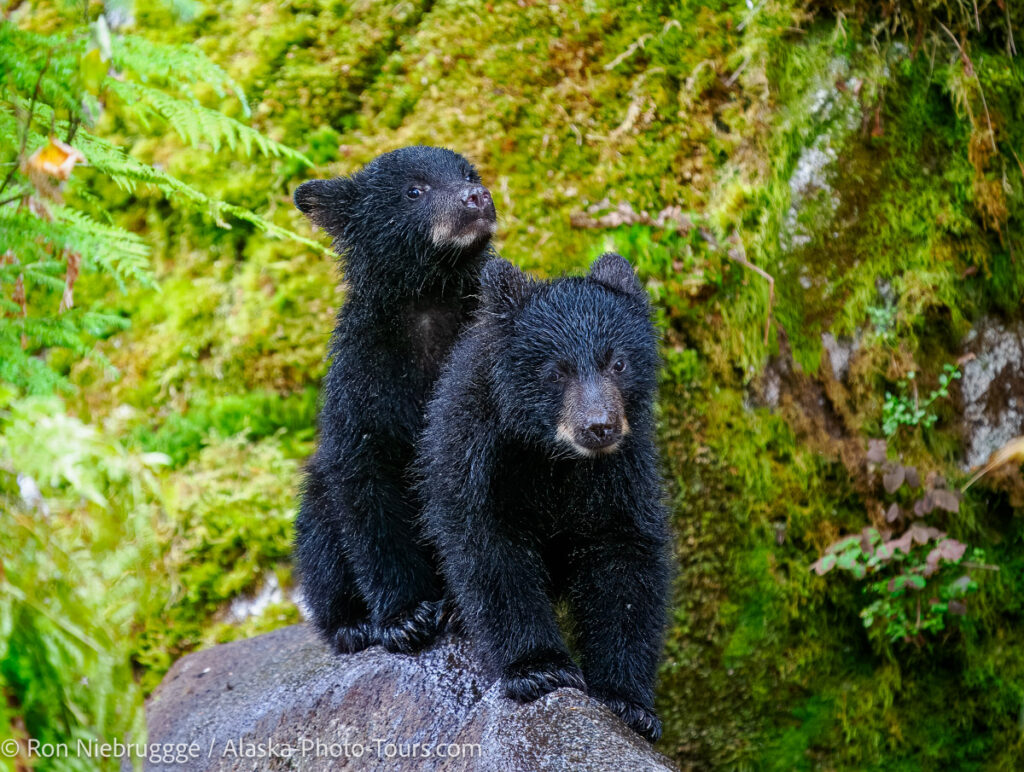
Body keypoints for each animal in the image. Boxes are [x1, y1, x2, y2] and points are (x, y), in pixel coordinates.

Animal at [293, 146, 497, 656]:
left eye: (468, 173)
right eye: (414, 190)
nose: (477, 196)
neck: (429, 303)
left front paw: (458, 609)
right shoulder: (363, 386)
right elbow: (368, 495)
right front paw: (404, 618)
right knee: (319, 538)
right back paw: (350, 624)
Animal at [417, 253, 671, 742]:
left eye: (618, 363)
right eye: (556, 370)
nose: (599, 426)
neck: (553, 456)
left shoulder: (622, 471)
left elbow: (626, 559)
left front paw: (628, 703)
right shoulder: (479, 455)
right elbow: (491, 552)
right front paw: (539, 669)